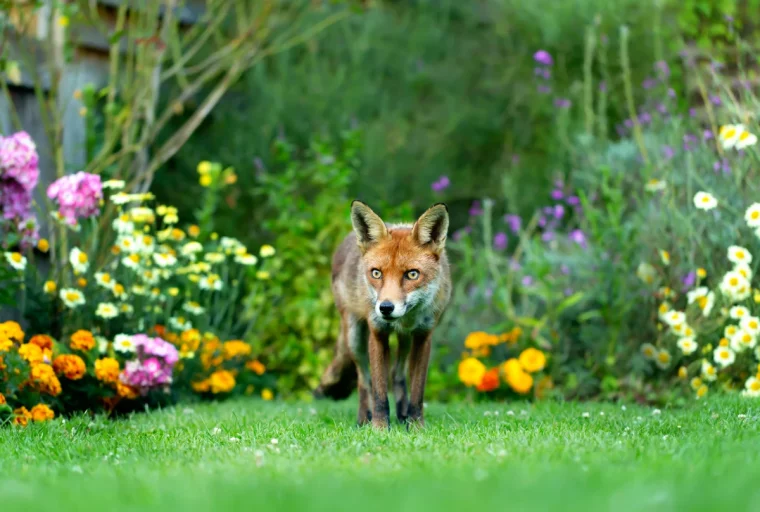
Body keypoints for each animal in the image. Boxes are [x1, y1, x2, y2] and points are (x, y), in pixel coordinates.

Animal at [314, 200, 452, 428]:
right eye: (376, 273)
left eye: (412, 274)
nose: (386, 308)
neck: (406, 319)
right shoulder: (377, 332)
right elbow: (378, 391)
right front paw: (379, 427)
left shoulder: (423, 336)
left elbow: (417, 391)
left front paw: (416, 426)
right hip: (354, 337)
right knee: (364, 380)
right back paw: (363, 419)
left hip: (405, 341)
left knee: (397, 374)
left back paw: (402, 415)